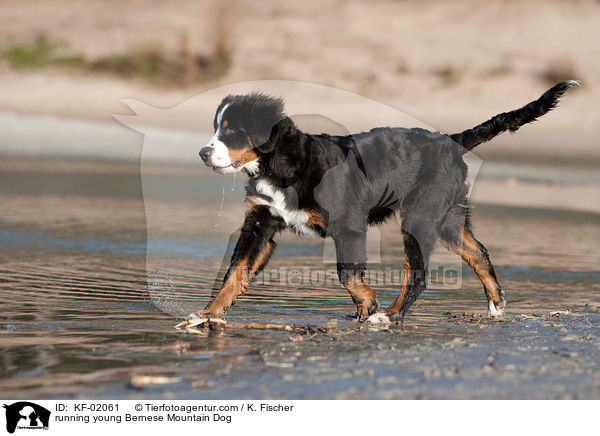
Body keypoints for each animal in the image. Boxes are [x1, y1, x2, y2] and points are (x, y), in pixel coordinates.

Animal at [186, 82, 576, 328]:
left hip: (419, 218)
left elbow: (347, 273)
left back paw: (389, 315)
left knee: (417, 274)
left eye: (231, 130)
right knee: (478, 251)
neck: (280, 165)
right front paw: (207, 313)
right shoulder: (260, 222)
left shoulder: (348, 224)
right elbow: (235, 272)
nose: (203, 153)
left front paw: (367, 305)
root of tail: (450, 141)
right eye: (217, 127)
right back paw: (495, 305)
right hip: (448, 218)